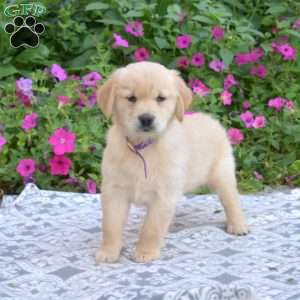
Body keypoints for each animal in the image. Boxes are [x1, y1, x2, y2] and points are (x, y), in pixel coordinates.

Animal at [95, 62, 248, 264]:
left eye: (160, 98)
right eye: (131, 98)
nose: (146, 118)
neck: (142, 148)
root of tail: (211, 119)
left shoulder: (163, 195)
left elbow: (151, 228)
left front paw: (145, 252)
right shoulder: (114, 191)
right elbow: (110, 225)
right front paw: (108, 251)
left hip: (222, 175)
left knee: (232, 201)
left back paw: (239, 225)